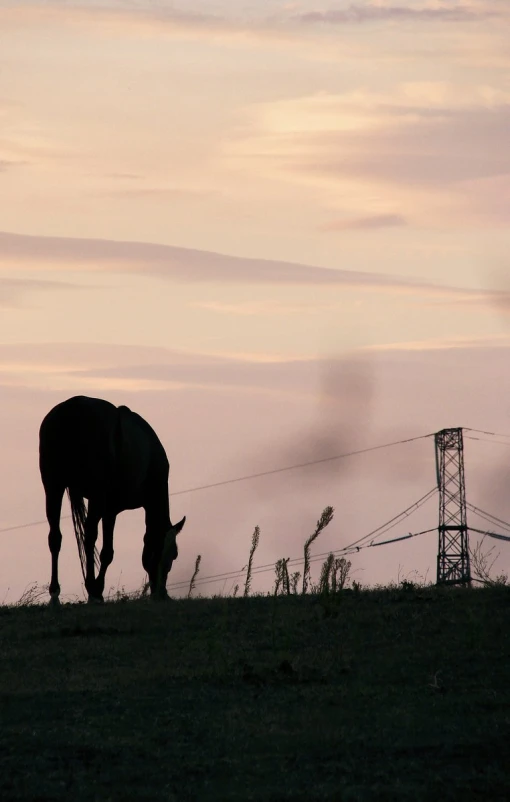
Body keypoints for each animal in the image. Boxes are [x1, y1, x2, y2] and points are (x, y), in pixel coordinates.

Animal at [38, 394, 185, 600]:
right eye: (174, 554)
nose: (161, 593)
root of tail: (74, 406)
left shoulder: (103, 506)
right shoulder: (110, 508)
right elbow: (107, 551)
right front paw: (97, 588)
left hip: (53, 487)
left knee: (55, 537)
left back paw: (55, 592)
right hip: (96, 496)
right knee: (89, 536)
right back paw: (92, 589)